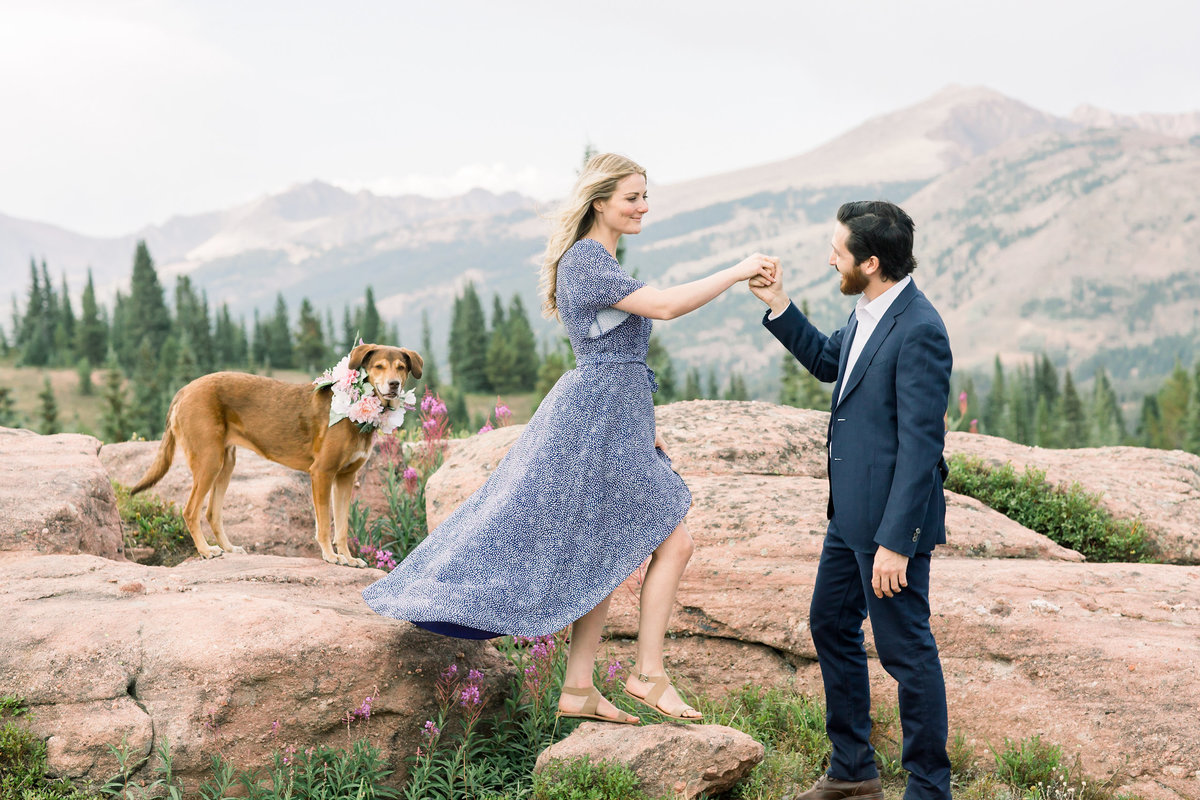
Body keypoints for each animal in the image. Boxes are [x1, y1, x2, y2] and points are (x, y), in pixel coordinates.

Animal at [130, 343, 422, 563]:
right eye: (378, 367)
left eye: (401, 367)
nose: (394, 385)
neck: (355, 413)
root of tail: (184, 390)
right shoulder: (322, 473)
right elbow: (324, 524)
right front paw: (330, 556)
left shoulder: (346, 478)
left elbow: (342, 526)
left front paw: (348, 559)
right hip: (209, 461)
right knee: (190, 511)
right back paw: (205, 551)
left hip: (225, 463)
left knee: (212, 513)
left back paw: (229, 548)